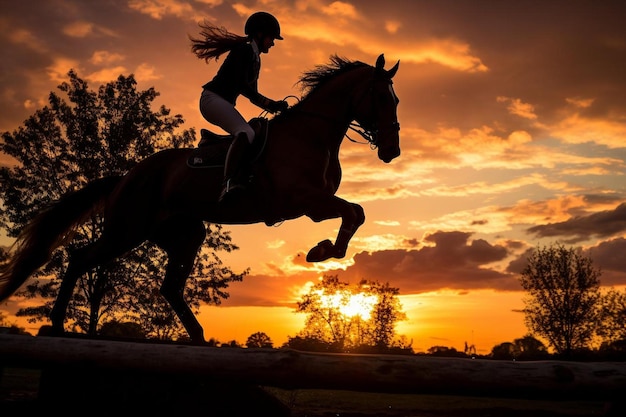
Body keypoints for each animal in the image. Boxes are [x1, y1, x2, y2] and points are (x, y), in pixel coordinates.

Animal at [0, 53, 400, 342]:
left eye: (396, 99)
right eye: (382, 97)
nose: (392, 150)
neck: (312, 135)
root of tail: (126, 177)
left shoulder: (315, 206)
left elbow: (356, 213)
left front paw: (324, 250)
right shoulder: (303, 200)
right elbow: (353, 212)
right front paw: (321, 251)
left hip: (184, 232)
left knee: (170, 286)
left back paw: (197, 335)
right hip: (126, 230)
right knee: (81, 258)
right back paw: (56, 325)